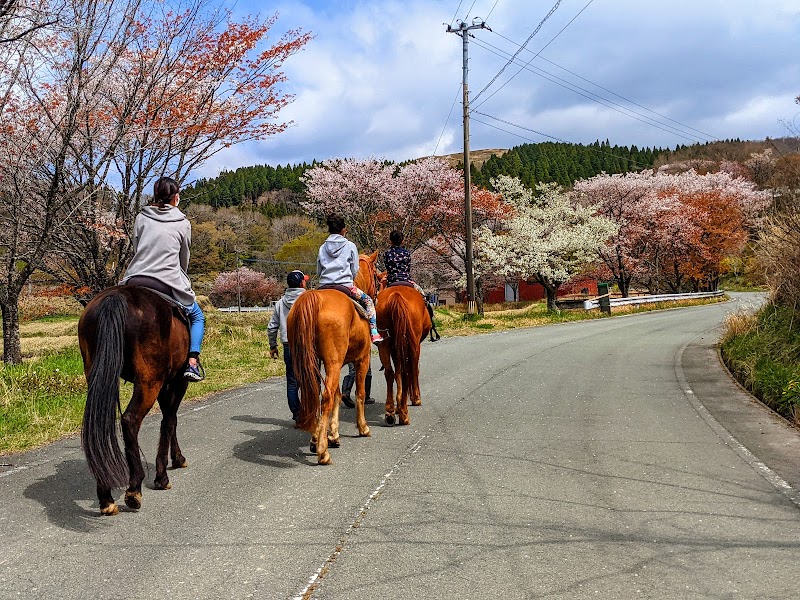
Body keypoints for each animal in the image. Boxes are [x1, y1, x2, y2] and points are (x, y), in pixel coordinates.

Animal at [77, 286, 191, 516]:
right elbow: (170, 420)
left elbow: (170, 419)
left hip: (98, 374)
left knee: (99, 423)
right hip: (149, 381)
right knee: (130, 420)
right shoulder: (177, 380)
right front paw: (165, 472)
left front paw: (176, 459)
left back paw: (106, 497)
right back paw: (134, 489)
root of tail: (114, 298)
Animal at [288, 251, 378, 466]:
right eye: (377, 276)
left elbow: (337, 395)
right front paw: (362, 427)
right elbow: (359, 393)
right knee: (326, 397)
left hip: (310, 361)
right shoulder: (361, 360)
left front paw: (333, 434)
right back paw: (322, 451)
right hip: (333, 362)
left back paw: (315, 440)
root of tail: (315, 298)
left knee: (314, 394)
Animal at [376, 284, 432, 426]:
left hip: (384, 342)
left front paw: (399, 402)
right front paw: (415, 398)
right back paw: (404, 414)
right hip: (413, 343)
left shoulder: (395, 348)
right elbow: (414, 370)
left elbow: (397, 373)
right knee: (409, 370)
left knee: (390, 373)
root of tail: (396, 295)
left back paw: (391, 411)